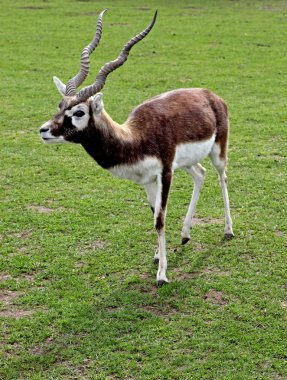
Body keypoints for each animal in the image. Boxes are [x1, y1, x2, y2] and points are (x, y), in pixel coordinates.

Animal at [40, 8, 234, 284]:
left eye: (78, 112)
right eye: (59, 105)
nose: (44, 130)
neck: (136, 138)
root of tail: (210, 95)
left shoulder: (165, 173)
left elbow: (160, 218)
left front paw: (162, 274)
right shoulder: (148, 180)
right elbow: (154, 215)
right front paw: (157, 257)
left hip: (218, 151)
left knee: (221, 177)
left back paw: (228, 230)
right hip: (187, 163)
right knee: (200, 174)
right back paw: (185, 235)